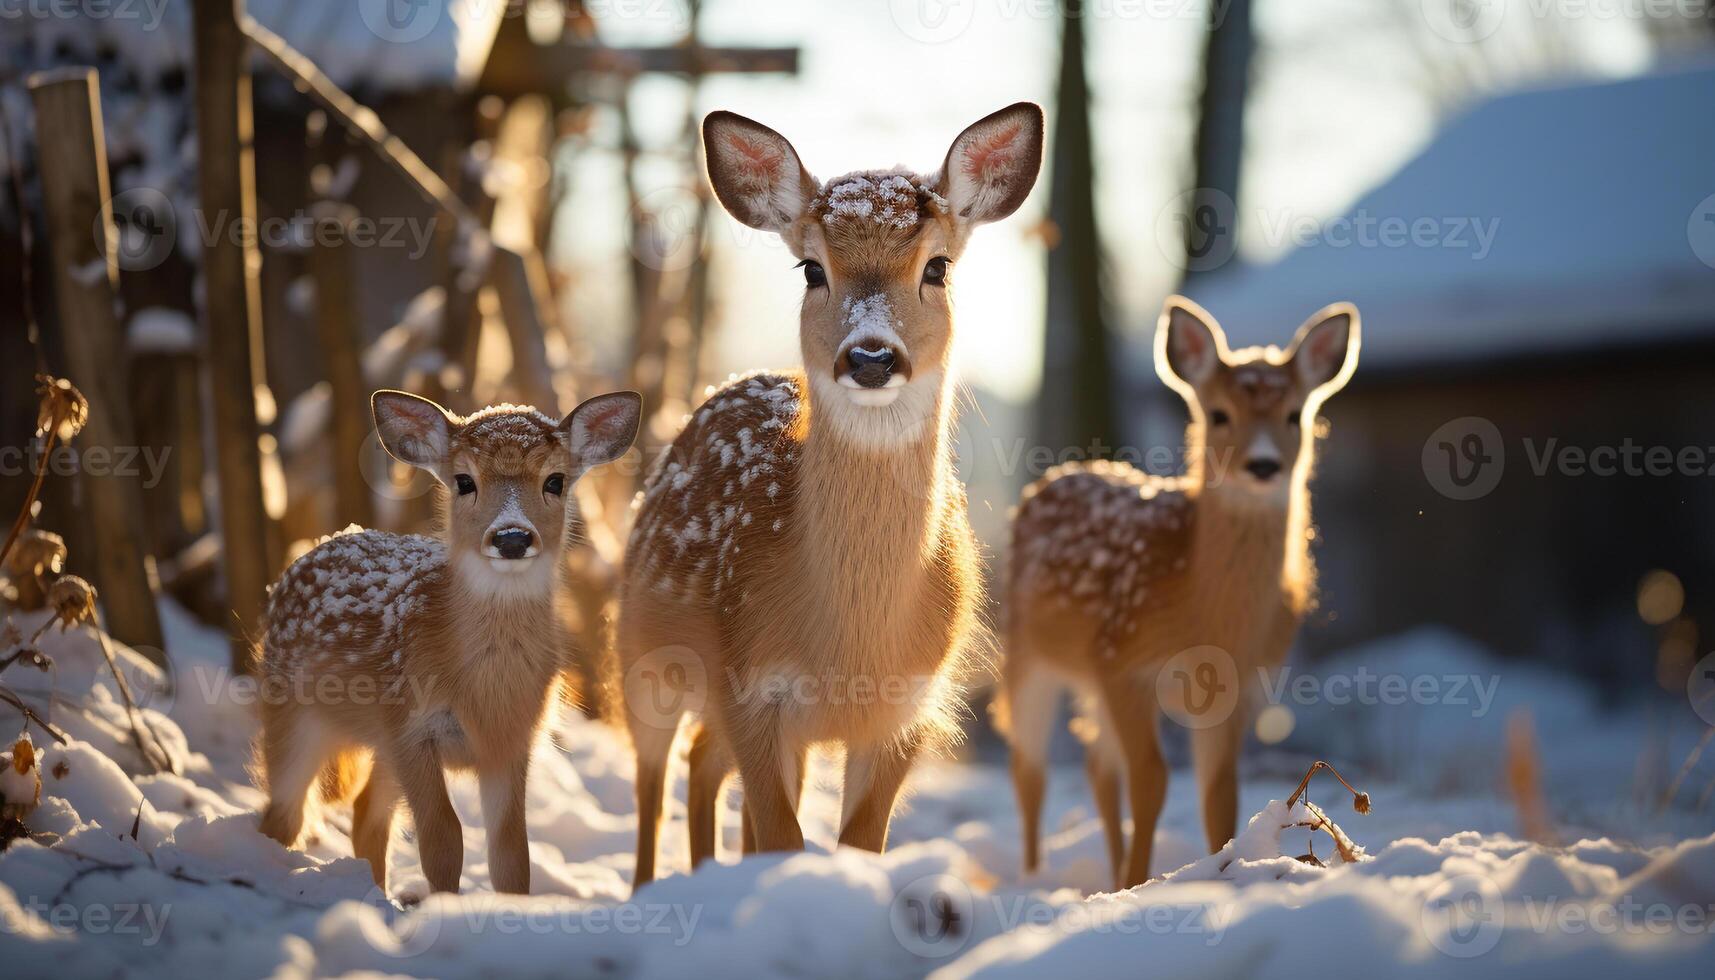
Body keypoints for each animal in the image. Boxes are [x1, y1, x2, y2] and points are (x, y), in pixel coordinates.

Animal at [250, 387, 634, 892]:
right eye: (463, 481)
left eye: (555, 481)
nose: (512, 537)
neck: (483, 693)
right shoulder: (413, 727)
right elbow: (443, 842)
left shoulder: (510, 742)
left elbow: (512, 854)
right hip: (292, 711)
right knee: (285, 812)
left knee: (365, 815)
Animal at [617, 101, 1042, 892]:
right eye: (812, 267)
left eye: (937, 266)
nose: (871, 357)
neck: (850, 646)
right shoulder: (752, 687)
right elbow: (780, 837)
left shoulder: (908, 707)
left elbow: (857, 844)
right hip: (640, 648)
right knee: (654, 771)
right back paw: (647, 890)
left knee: (701, 763)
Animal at [1001, 295, 1351, 892]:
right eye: (1218, 414)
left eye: (1294, 415)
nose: (1263, 465)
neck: (1199, 606)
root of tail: (1063, 473)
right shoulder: (1123, 662)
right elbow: (1152, 782)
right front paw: (1136, 886)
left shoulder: (1235, 687)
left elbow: (1220, 794)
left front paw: (1213, 872)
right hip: (1027, 653)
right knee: (1031, 768)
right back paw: (1033, 876)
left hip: (1088, 679)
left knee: (1096, 767)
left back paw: (1104, 870)